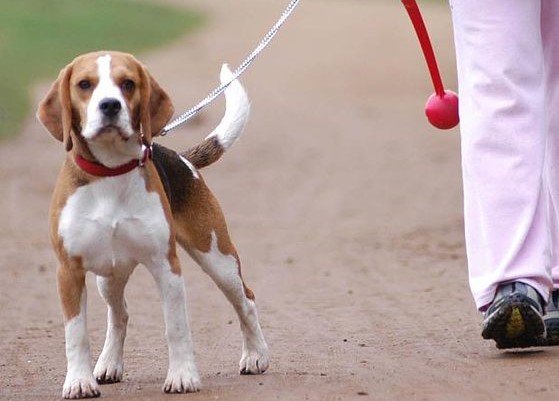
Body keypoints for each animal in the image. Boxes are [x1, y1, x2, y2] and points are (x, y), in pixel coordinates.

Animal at [36, 51, 269, 399]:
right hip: (108, 277)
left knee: (247, 301)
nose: (110, 105)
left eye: (128, 83)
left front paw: (183, 377)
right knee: (119, 314)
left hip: (218, 258)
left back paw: (256, 355)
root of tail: (181, 158)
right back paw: (109, 364)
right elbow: (76, 333)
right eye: (84, 84)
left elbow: (176, 327)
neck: (111, 171)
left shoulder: (166, 266)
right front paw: (79, 381)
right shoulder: (69, 271)